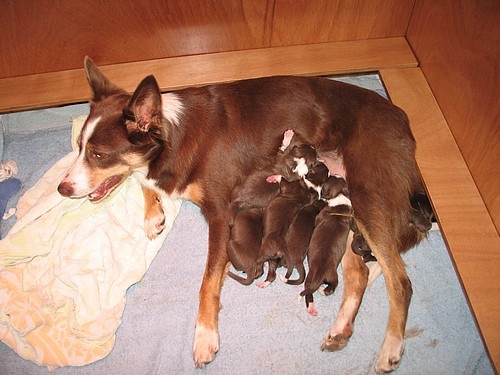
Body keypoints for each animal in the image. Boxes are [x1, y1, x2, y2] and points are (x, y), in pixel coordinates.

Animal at [300, 175, 352, 316]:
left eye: (325, 184)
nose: (332, 174)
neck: (339, 196)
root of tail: (322, 273)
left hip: (310, 277)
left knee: (308, 292)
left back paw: (310, 306)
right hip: (334, 277)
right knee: (330, 289)